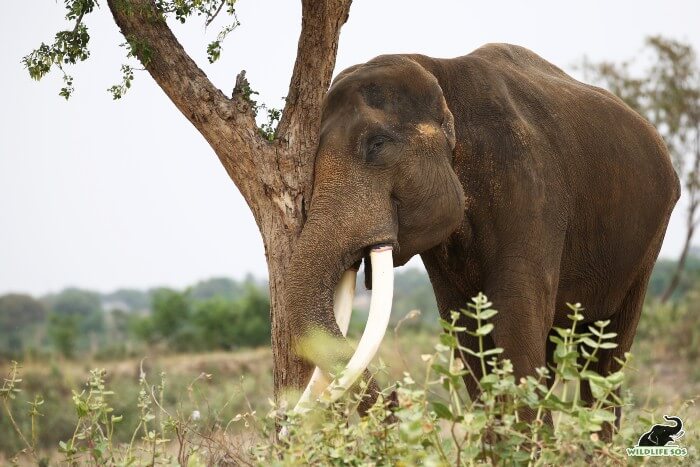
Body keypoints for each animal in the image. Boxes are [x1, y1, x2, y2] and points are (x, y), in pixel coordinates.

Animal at [284, 44, 680, 422]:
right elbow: (469, 336)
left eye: (377, 145)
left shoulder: (529, 186)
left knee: (606, 358)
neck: (437, 71)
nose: (394, 401)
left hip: (649, 239)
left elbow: (514, 328)